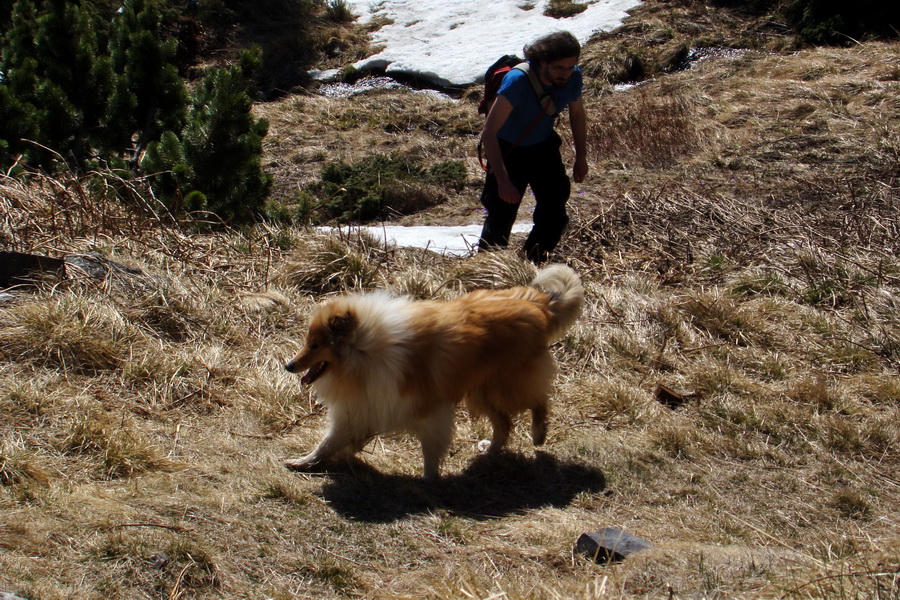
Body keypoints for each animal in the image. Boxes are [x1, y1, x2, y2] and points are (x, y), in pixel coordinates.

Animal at [284, 264, 588, 480]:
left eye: (316, 345)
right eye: (308, 342)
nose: (289, 366)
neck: (364, 352)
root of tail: (536, 302)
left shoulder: (429, 410)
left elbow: (430, 449)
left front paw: (429, 480)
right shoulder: (361, 406)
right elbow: (328, 442)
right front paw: (304, 461)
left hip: (508, 386)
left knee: (539, 401)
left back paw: (538, 434)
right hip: (482, 392)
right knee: (504, 424)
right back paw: (489, 452)